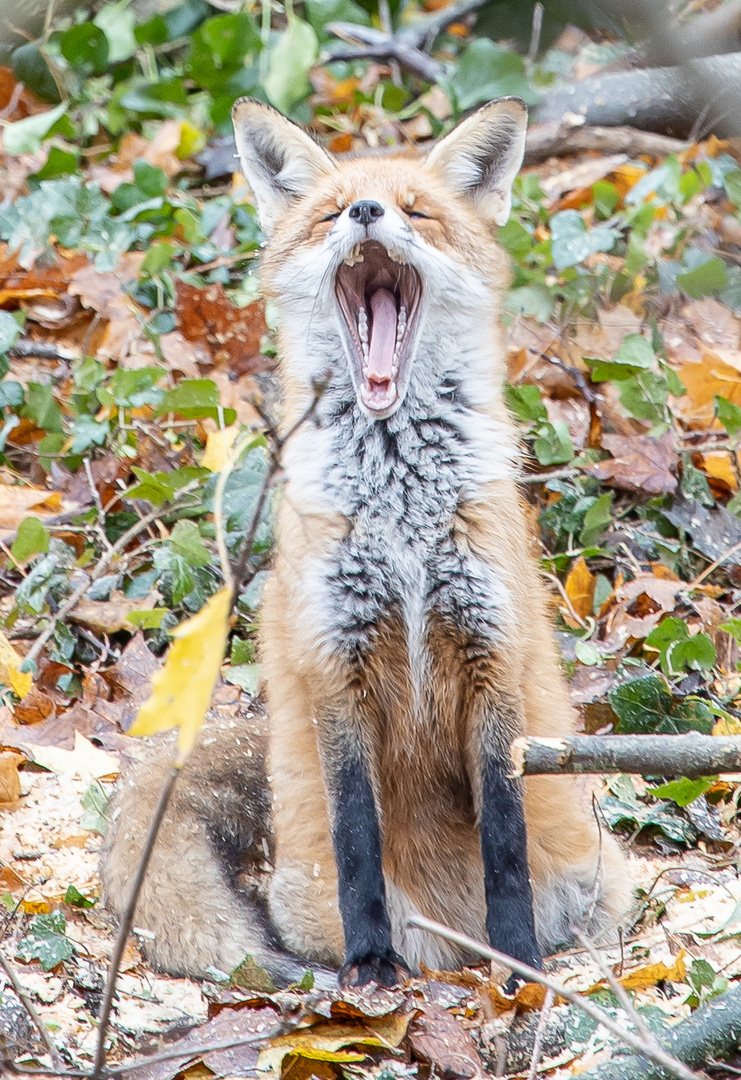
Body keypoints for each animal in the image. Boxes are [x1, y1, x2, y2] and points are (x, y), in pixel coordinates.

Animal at [99, 95, 630, 989]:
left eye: (417, 210)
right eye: (328, 214)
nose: (367, 213)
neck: (401, 514)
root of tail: (449, 943)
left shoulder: (492, 658)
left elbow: (505, 837)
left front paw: (517, 962)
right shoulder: (333, 670)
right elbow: (357, 839)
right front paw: (371, 965)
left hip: (600, 881)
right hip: (305, 891)